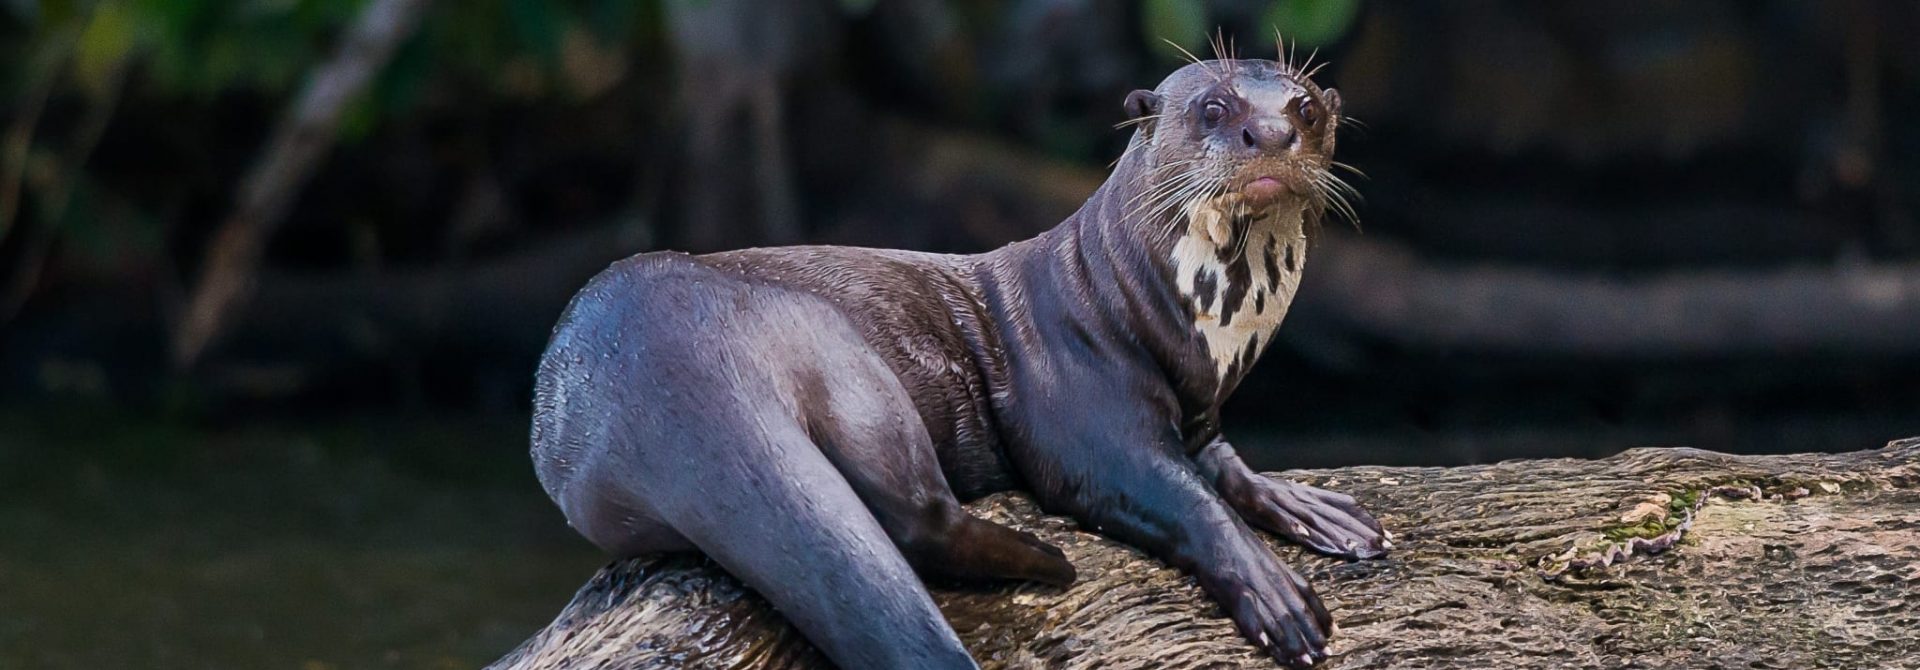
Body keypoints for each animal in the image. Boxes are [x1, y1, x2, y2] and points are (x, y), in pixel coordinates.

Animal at [533, 53, 1390, 668]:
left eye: (1306, 109)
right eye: (1213, 108)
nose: (1271, 136)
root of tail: (659, 362)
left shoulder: (1203, 405)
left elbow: (1226, 464)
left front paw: (1318, 510)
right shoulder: (1083, 410)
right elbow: (1171, 492)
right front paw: (1275, 593)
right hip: (835, 350)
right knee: (915, 514)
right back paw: (1047, 561)